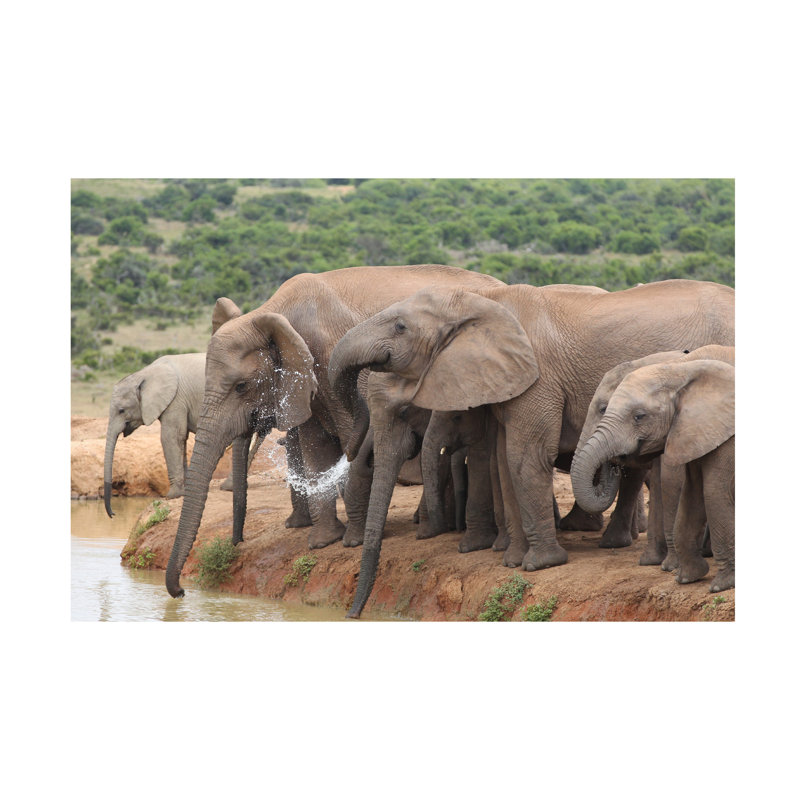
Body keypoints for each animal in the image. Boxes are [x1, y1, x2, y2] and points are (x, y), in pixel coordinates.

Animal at [104, 353, 206, 517]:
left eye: (121, 410)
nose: (113, 514)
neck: (143, 374)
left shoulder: (175, 400)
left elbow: (170, 437)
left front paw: (172, 496)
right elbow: (181, 438)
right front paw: (184, 492)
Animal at [165, 264, 504, 598]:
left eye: (241, 386)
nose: (180, 592)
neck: (274, 310)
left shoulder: (329, 360)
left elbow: (348, 433)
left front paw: (350, 539)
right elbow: (315, 446)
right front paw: (323, 541)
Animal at [570, 355, 735, 592]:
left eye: (639, 416)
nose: (615, 461)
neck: (679, 369)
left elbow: (711, 493)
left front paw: (720, 585)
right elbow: (691, 495)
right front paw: (686, 577)